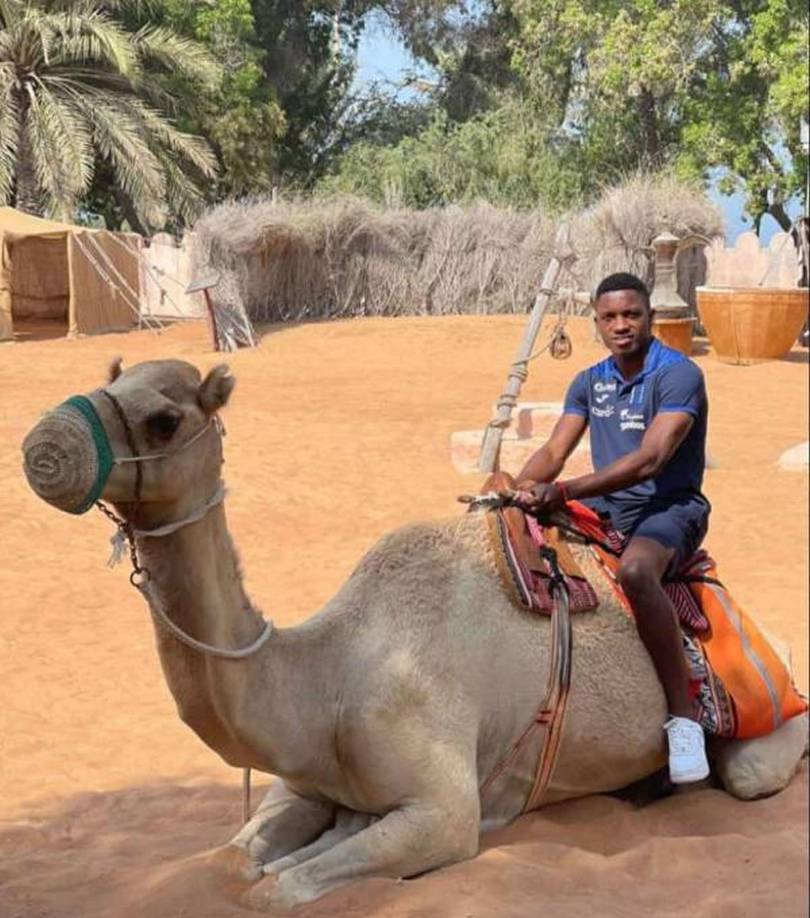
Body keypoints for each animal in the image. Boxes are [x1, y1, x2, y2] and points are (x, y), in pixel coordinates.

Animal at [22, 358, 808, 912]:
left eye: (162, 418)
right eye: (107, 382)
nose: (45, 447)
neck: (333, 673)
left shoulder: (444, 811)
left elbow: (276, 889)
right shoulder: (304, 779)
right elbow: (231, 863)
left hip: (763, 729)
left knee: (753, 770)